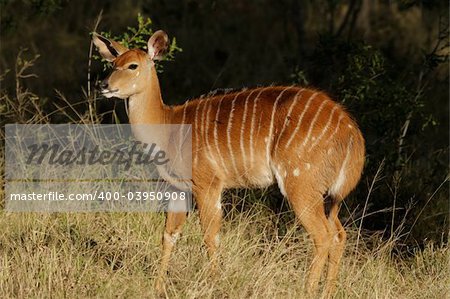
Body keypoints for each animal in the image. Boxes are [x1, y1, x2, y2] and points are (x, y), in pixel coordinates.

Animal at [93, 30, 364, 298]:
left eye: (133, 65)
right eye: (112, 63)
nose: (103, 85)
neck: (168, 127)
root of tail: (352, 135)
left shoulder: (208, 184)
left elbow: (210, 236)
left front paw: (214, 284)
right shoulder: (179, 188)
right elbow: (169, 234)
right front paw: (158, 287)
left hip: (300, 183)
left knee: (322, 235)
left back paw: (307, 291)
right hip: (327, 195)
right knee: (339, 234)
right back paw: (328, 291)